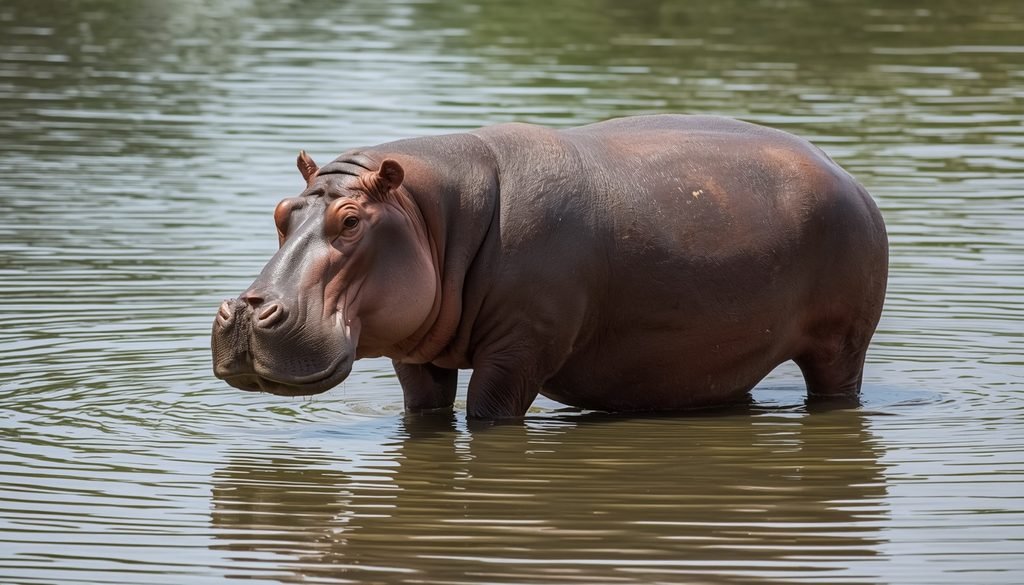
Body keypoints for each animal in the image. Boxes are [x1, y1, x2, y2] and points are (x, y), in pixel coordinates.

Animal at [212, 115, 888, 419]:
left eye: (351, 220)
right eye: (281, 210)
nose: (244, 311)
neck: (434, 214)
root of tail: (846, 174)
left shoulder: (519, 350)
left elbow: (487, 410)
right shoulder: (417, 355)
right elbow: (425, 409)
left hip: (841, 345)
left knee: (836, 384)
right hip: (719, 359)